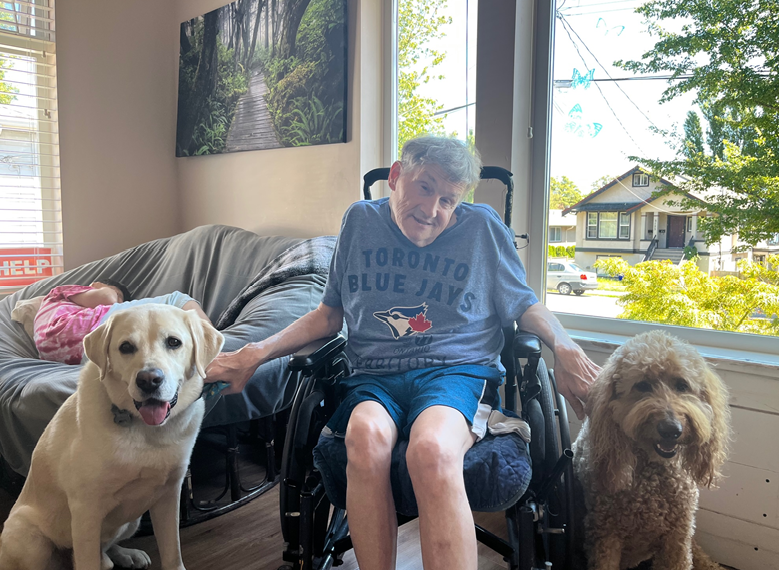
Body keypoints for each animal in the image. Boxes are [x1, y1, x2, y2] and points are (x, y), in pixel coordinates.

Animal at [0, 304, 222, 568]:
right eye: (126, 347)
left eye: (173, 342)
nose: (149, 380)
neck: (147, 432)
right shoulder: (85, 510)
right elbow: (87, 561)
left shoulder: (169, 495)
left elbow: (172, 553)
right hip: (31, 542)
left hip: (132, 522)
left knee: (106, 548)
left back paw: (127, 554)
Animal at [572, 328, 732, 568]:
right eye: (642, 385)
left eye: (682, 385)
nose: (671, 429)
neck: (653, 473)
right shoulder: (606, 535)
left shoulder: (678, 537)